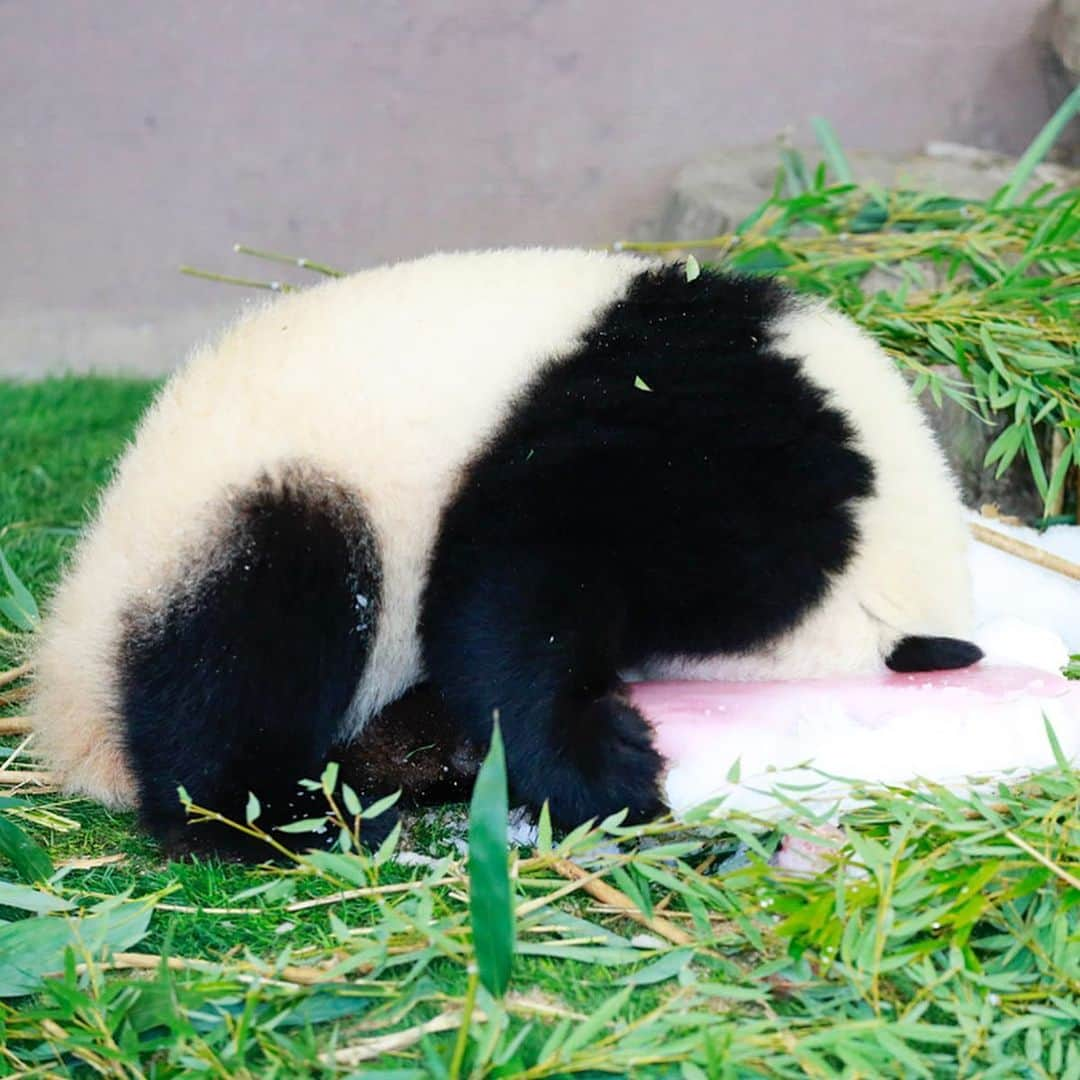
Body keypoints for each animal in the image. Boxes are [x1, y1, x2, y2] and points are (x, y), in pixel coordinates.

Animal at [31, 248, 980, 855]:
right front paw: (609, 769)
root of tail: (64, 700)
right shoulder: (700, 437)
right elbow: (518, 582)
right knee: (255, 633)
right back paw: (290, 816)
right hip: (235, 512)